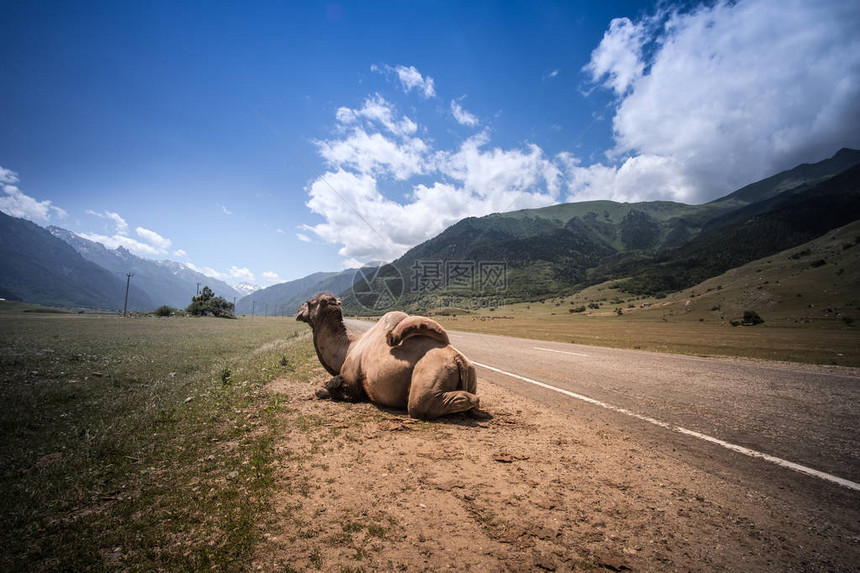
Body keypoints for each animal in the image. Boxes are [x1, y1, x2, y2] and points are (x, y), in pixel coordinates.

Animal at [298, 292, 480, 418]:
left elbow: (329, 389)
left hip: (432, 374)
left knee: (422, 405)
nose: (298, 311)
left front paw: (332, 390)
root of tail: (458, 359)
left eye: (309, 303)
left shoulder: (351, 379)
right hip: (471, 374)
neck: (348, 347)